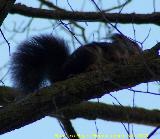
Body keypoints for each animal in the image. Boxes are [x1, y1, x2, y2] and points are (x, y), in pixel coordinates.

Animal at [10, 33, 142, 93]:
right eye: (133, 43)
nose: (140, 51)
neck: (123, 50)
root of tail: (62, 73)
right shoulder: (110, 50)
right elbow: (113, 56)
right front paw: (121, 59)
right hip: (89, 55)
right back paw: (90, 68)